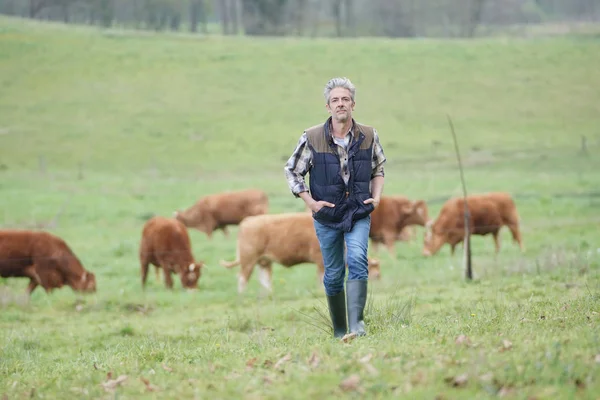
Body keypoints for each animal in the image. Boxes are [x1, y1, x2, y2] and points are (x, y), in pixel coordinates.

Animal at [219, 212, 380, 294]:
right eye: (377, 275)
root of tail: (247, 220)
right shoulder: (321, 261)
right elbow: (321, 278)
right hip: (248, 260)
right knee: (242, 278)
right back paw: (243, 296)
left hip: (263, 261)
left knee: (264, 280)